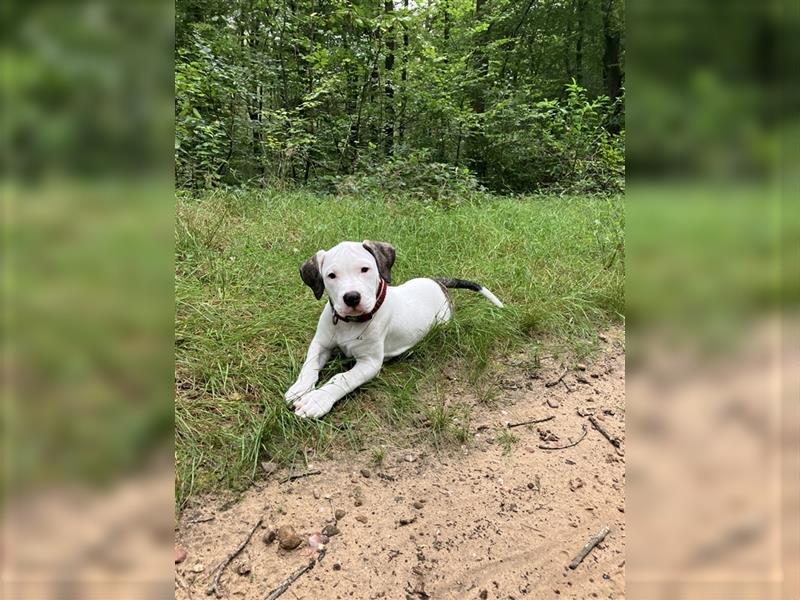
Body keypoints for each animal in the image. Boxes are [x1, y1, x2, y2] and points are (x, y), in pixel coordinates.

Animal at [284, 239, 504, 418]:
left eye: (365, 269)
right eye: (331, 275)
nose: (352, 297)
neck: (349, 323)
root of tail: (437, 282)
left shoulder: (370, 363)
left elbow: (342, 378)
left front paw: (317, 400)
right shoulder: (320, 344)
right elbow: (309, 366)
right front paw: (300, 388)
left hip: (442, 320)